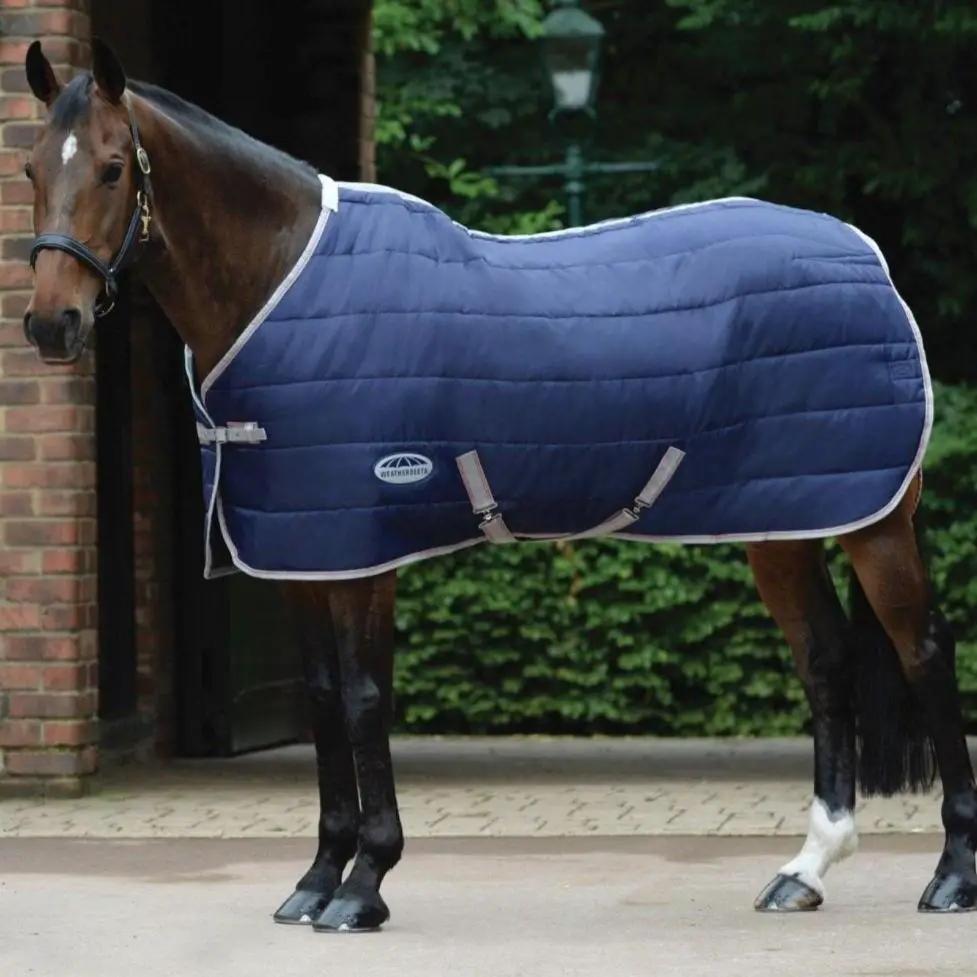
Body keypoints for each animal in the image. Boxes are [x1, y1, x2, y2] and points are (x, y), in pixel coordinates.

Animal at [19, 39, 977, 930]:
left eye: (112, 167)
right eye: (29, 167)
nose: (50, 323)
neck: (279, 285)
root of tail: (866, 260)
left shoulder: (363, 555)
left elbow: (364, 700)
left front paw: (364, 885)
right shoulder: (301, 554)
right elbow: (324, 701)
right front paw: (315, 878)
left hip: (872, 524)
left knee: (923, 652)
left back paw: (950, 874)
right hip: (781, 525)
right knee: (825, 663)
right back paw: (804, 869)